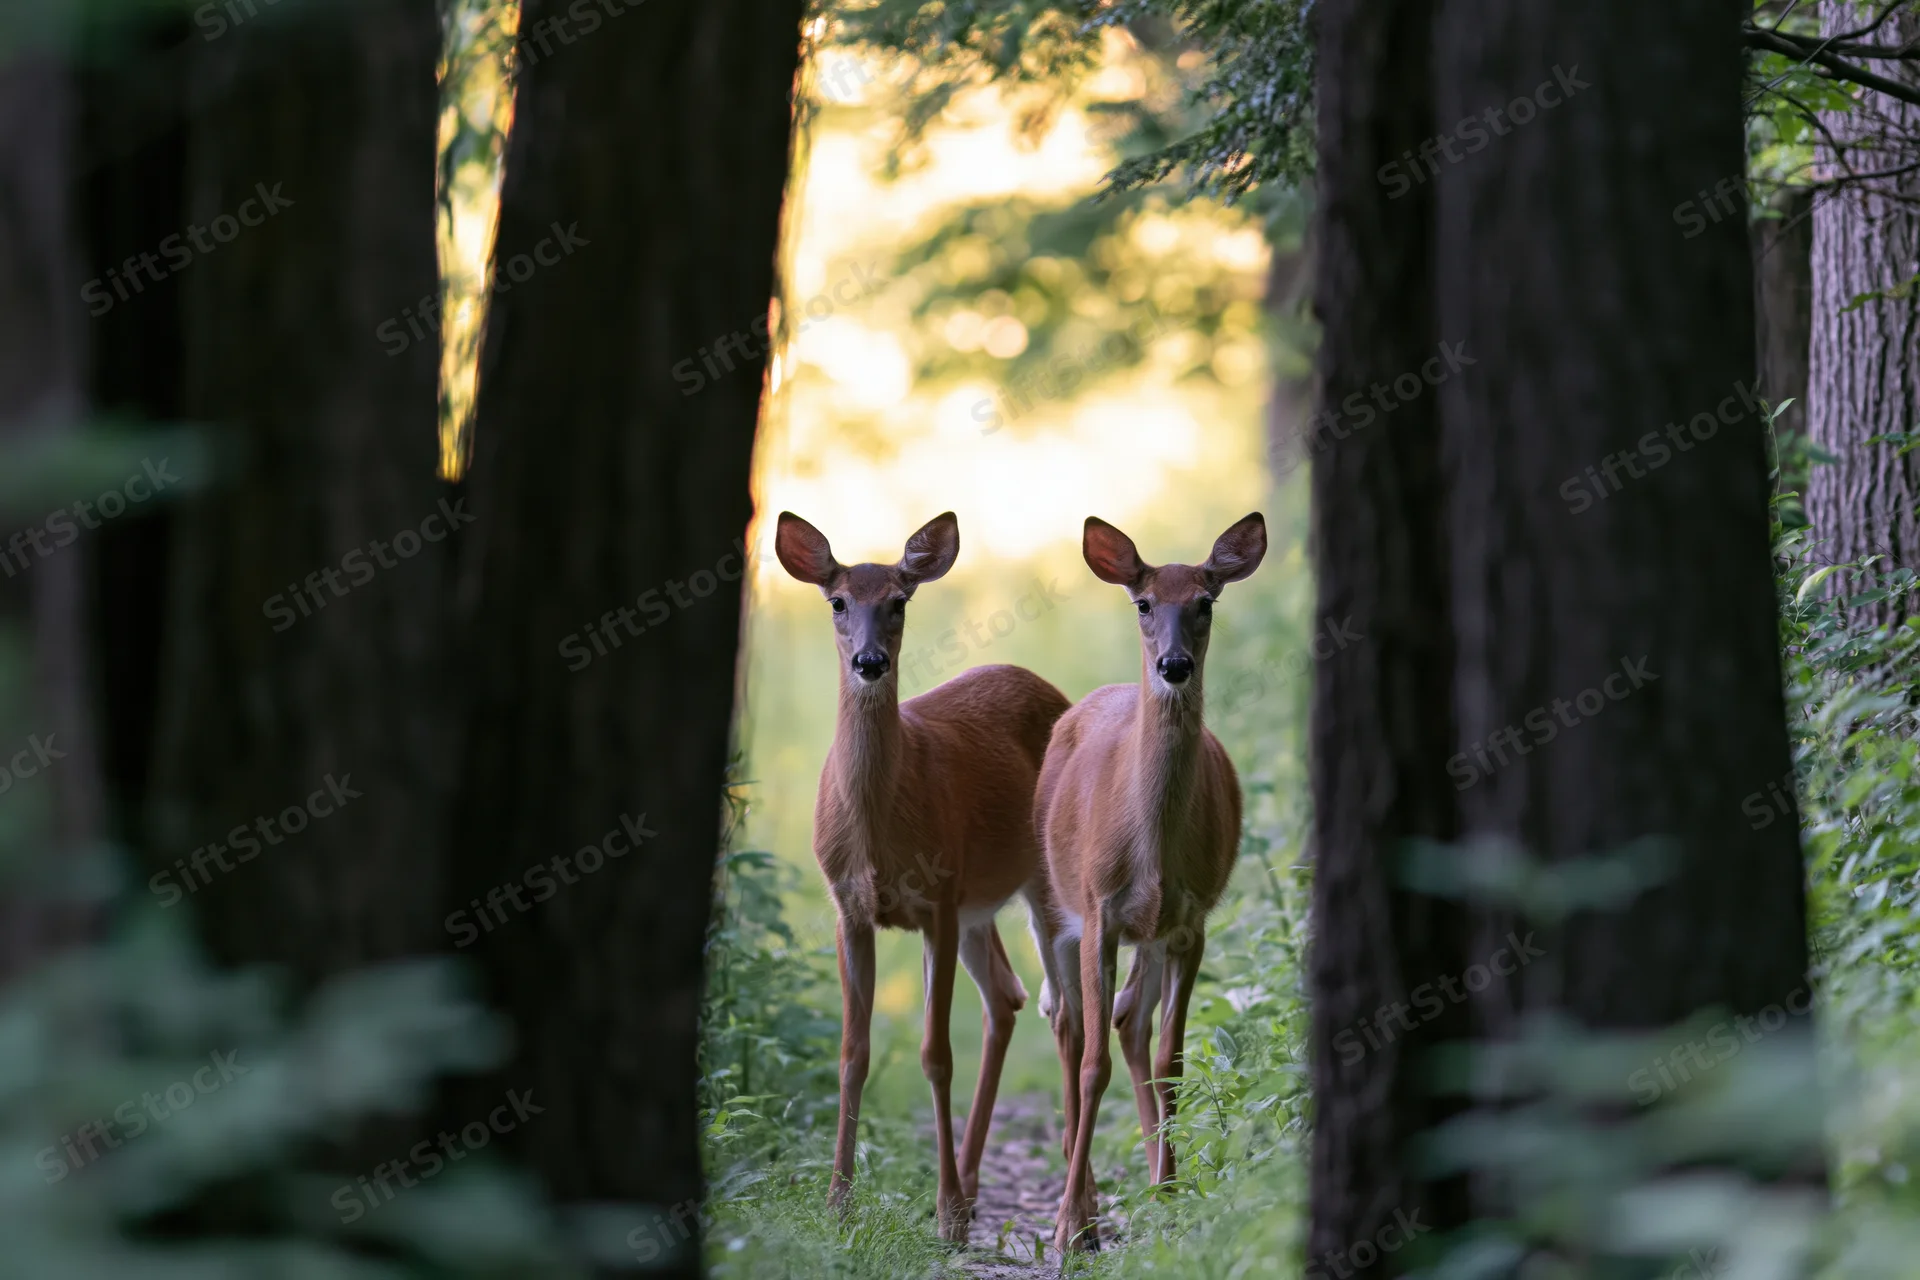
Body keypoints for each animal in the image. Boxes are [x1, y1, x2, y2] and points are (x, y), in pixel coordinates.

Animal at [773, 509, 1071, 1243]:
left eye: (899, 602)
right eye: (837, 601)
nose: (869, 662)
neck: (879, 831)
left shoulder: (935, 901)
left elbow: (937, 1054)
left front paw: (944, 1215)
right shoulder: (851, 908)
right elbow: (853, 1052)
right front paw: (838, 1204)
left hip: (1037, 886)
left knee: (1062, 1009)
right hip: (978, 906)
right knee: (1007, 996)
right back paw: (973, 1186)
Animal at [1030, 512, 1265, 1253]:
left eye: (1205, 602)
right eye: (1142, 604)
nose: (1174, 666)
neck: (1152, 845)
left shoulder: (1190, 922)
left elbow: (1172, 1058)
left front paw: (1173, 1196)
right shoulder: (1099, 912)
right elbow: (1091, 1064)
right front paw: (1069, 1227)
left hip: (1153, 933)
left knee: (1130, 1020)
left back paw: (1155, 1187)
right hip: (1054, 909)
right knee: (1069, 1026)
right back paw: (1083, 1211)